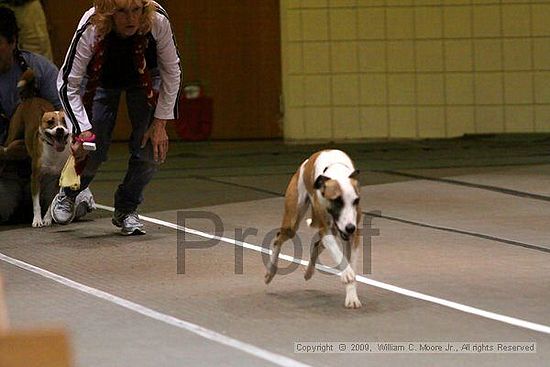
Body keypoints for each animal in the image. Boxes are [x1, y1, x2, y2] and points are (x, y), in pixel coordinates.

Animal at [3, 71, 70, 227]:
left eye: (65, 122)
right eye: (50, 122)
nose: (59, 130)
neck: (53, 151)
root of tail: (31, 97)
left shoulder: (57, 180)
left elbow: (51, 202)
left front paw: (47, 219)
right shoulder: (35, 177)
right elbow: (36, 204)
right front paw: (37, 220)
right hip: (13, 134)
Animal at [266, 149, 364, 308]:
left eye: (356, 201)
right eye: (337, 201)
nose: (350, 228)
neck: (337, 171)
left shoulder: (353, 235)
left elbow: (351, 263)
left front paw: (352, 296)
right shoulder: (326, 229)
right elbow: (338, 254)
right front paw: (347, 274)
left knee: (318, 244)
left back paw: (309, 272)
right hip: (292, 222)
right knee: (278, 238)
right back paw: (270, 272)